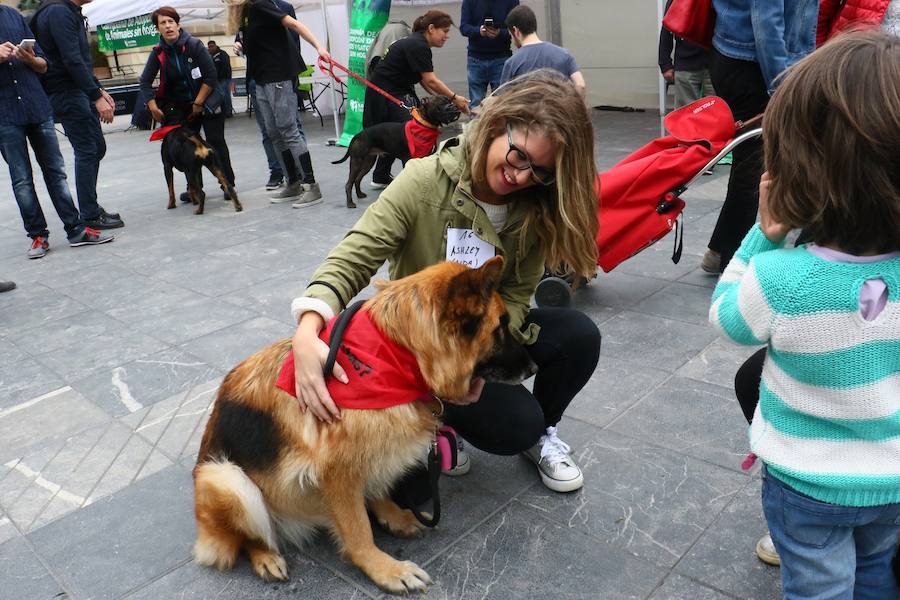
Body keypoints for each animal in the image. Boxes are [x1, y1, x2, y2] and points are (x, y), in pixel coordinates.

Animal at [192, 258, 536, 596]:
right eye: (501, 325)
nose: (534, 367)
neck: (398, 351)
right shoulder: (336, 472)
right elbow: (357, 529)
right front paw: (385, 569)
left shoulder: (370, 454)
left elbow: (375, 487)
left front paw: (392, 516)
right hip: (225, 478)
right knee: (247, 537)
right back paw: (265, 556)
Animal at [330, 95, 460, 210]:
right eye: (441, 104)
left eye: (450, 100)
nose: (455, 107)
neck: (424, 125)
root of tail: (357, 135)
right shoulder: (408, 160)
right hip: (357, 161)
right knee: (349, 183)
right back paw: (350, 203)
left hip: (368, 162)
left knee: (357, 179)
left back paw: (359, 194)